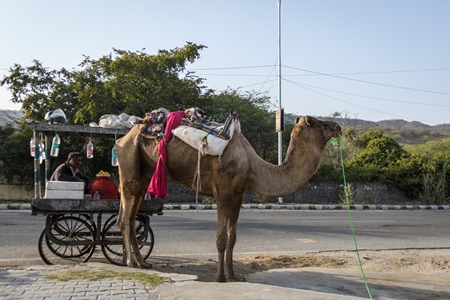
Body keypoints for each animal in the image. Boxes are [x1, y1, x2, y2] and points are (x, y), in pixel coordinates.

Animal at [116, 114, 342, 282]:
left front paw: (233, 275)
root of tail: (121, 138)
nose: (338, 126)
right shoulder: (223, 190)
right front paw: (220, 277)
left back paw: (142, 262)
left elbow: (232, 236)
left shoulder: (239, 193)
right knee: (126, 215)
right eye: (318, 122)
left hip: (145, 173)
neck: (251, 164)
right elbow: (221, 237)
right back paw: (129, 262)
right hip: (129, 163)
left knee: (130, 214)